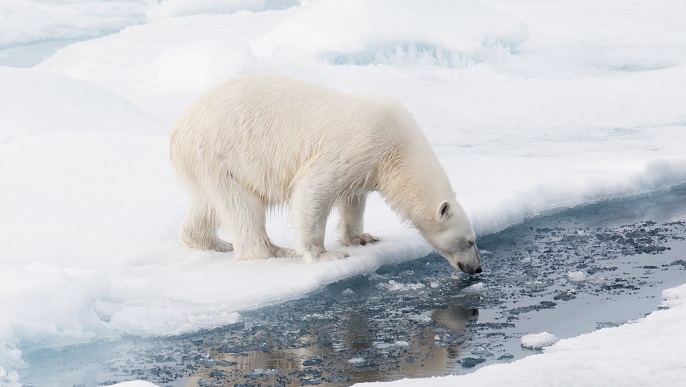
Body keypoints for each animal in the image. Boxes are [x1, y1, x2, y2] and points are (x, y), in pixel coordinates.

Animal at [171, 74, 484, 274]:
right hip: (226, 151)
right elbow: (314, 188)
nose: (477, 268)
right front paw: (326, 254)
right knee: (243, 207)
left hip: (208, 165)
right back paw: (273, 251)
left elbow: (354, 199)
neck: (399, 147)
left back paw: (211, 241)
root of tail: (180, 126)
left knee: (209, 203)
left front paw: (362, 237)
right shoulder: (357, 143)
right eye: (470, 241)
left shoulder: (367, 163)